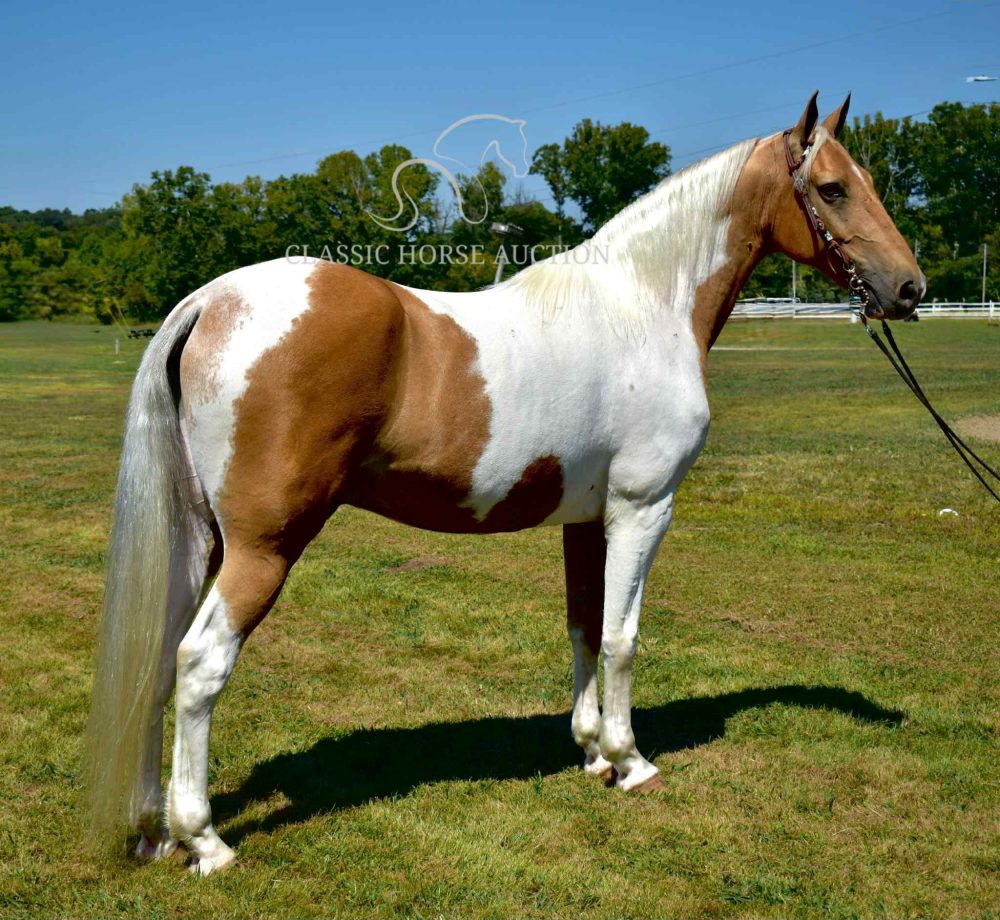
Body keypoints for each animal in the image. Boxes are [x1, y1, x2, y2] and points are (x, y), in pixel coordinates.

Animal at [84, 92, 924, 875]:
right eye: (833, 188)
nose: (910, 288)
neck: (643, 306)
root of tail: (212, 301)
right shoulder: (642, 509)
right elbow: (623, 638)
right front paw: (631, 761)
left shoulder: (586, 518)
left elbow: (584, 625)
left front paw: (590, 750)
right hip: (264, 548)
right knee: (200, 664)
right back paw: (206, 841)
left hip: (200, 540)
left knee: (162, 656)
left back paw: (157, 831)